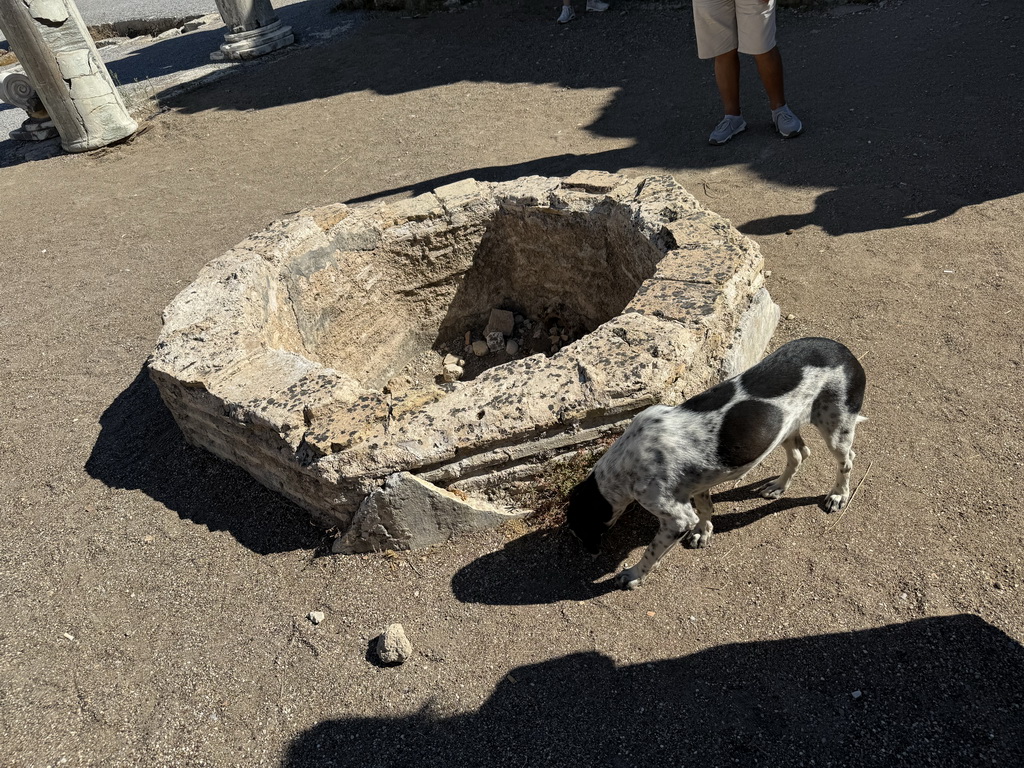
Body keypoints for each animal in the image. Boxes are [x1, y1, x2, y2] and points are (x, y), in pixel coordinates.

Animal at [565, 335, 868, 589]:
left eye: (578, 530)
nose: (588, 553)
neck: (626, 463)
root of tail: (845, 351)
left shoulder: (676, 518)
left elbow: (652, 553)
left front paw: (633, 575)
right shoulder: (697, 484)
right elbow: (705, 509)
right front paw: (703, 533)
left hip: (836, 430)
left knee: (847, 462)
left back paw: (838, 495)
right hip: (784, 428)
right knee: (799, 454)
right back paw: (779, 487)